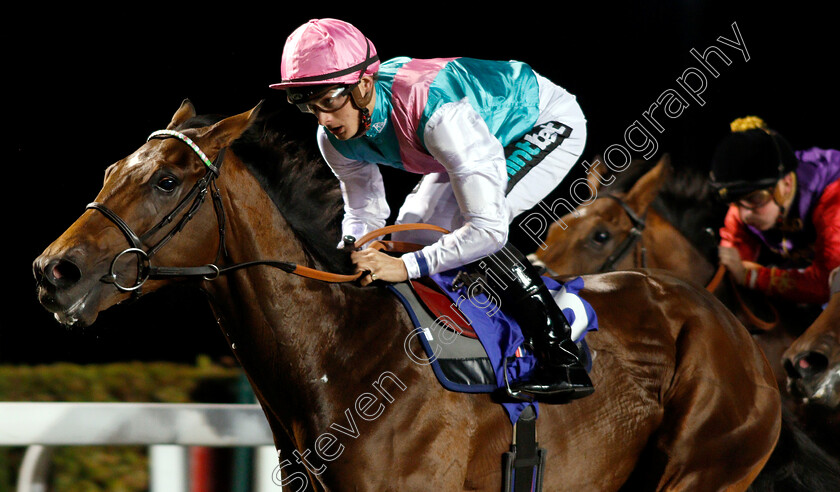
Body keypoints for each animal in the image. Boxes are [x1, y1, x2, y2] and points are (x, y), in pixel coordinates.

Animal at [32, 102, 780, 490]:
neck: (339, 353)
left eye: (166, 181)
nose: (53, 271)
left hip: (702, 469)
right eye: (112, 169)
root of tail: (738, 335)